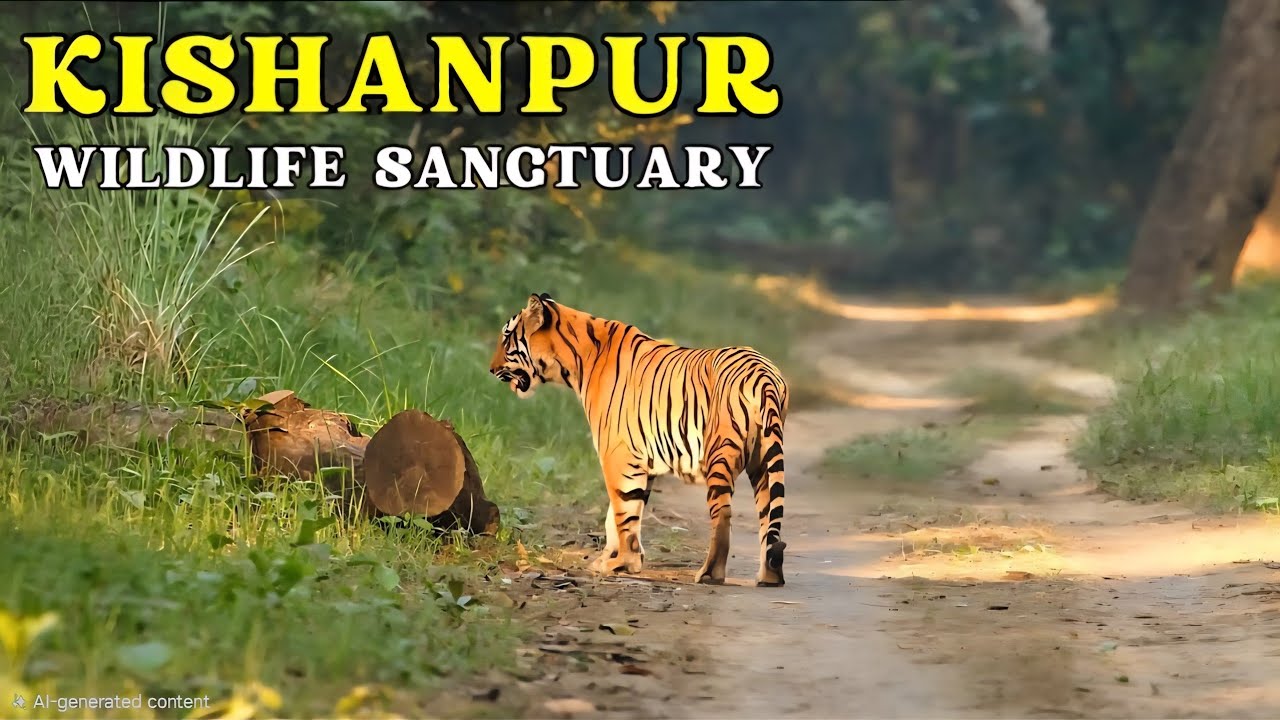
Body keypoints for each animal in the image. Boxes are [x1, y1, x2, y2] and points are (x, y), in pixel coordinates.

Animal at [488, 293, 788, 587]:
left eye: (507, 337)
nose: (491, 369)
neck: (577, 361)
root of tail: (763, 375)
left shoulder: (617, 454)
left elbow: (623, 510)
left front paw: (623, 562)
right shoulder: (643, 460)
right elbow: (622, 511)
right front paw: (612, 558)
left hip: (720, 453)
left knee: (723, 514)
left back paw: (709, 573)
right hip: (763, 460)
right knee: (770, 517)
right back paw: (769, 576)